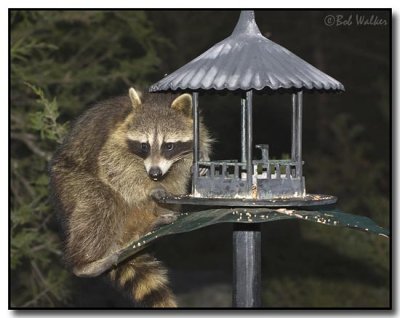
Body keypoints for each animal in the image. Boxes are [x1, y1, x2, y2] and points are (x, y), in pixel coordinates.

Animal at [49, 88, 212, 306]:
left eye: (168, 146)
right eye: (144, 146)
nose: (154, 174)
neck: (156, 102)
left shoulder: (195, 131)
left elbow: (192, 155)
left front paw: (200, 157)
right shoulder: (115, 139)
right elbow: (114, 167)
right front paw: (150, 188)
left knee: (171, 188)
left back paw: (150, 225)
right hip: (70, 182)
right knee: (99, 203)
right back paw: (83, 264)